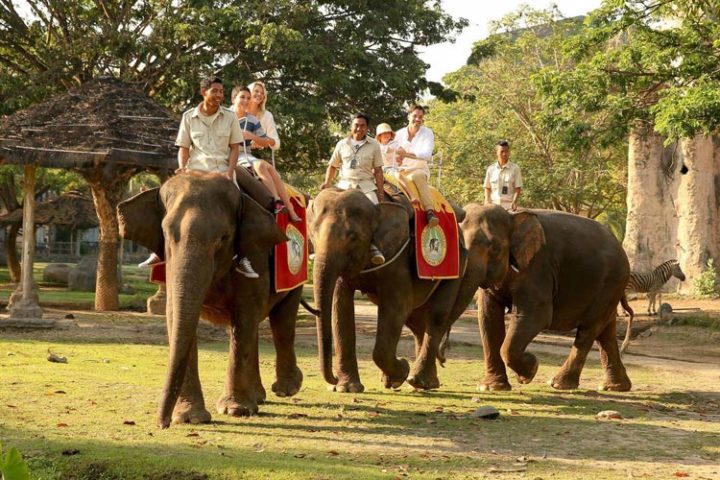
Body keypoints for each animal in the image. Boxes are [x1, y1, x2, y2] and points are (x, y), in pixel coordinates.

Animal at [117, 170, 306, 428]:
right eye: (166, 234)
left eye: (223, 238)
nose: (162, 424)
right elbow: (176, 314)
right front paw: (190, 417)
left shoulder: (254, 253)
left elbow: (245, 315)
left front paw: (235, 410)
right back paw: (258, 397)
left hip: (295, 273)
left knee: (282, 321)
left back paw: (286, 389)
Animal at [306, 186, 492, 392]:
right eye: (312, 234)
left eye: (353, 237)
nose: (332, 380)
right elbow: (340, 307)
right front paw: (347, 388)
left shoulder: (398, 257)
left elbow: (397, 307)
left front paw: (401, 371)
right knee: (417, 323)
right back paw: (417, 383)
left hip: (456, 266)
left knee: (437, 315)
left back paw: (418, 381)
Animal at [458, 204, 632, 392]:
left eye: (494, 248)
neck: (511, 215)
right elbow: (488, 317)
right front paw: (491, 388)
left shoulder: (538, 267)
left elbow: (537, 316)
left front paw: (529, 370)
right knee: (605, 331)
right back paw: (614, 387)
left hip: (610, 283)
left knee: (589, 329)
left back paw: (559, 384)